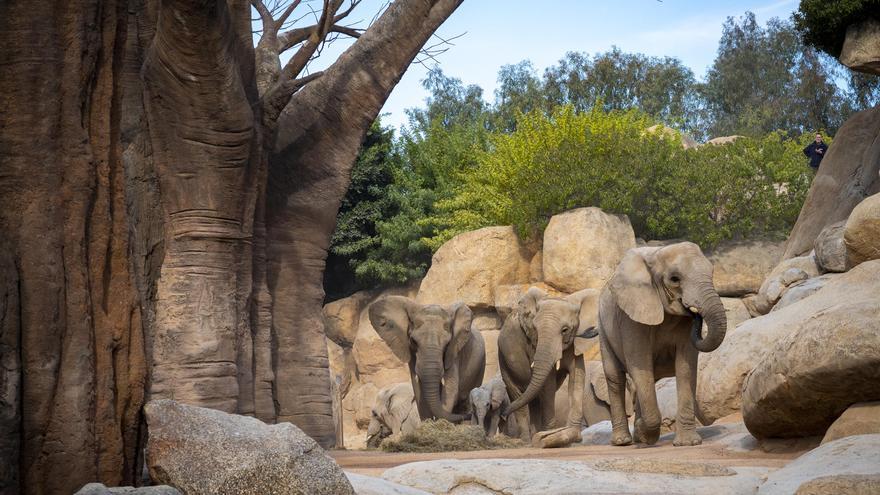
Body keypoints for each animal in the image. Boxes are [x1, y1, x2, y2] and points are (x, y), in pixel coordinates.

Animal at [366, 296, 484, 424]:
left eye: (447, 344)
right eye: (413, 341)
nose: (469, 415)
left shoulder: (454, 351)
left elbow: (451, 388)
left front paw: (439, 423)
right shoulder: (412, 354)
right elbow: (417, 387)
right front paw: (426, 424)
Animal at [496, 284, 600, 448]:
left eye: (565, 330)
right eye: (535, 329)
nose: (502, 415)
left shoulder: (574, 343)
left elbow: (576, 375)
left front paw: (571, 436)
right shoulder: (533, 344)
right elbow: (548, 383)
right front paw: (550, 434)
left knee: (533, 399)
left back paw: (535, 436)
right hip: (503, 358)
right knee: (518, 396)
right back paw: (526, 441)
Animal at [600, 242, 728, 448]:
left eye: (712, 272)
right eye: (674, 279)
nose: (696, 314)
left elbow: (685, 367)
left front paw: (688, 443)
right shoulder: (631, 316)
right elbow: (640, 364)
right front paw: (645, 433)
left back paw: (638, 437)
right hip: (603, 328)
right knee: (615, 377)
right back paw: (623, 441)